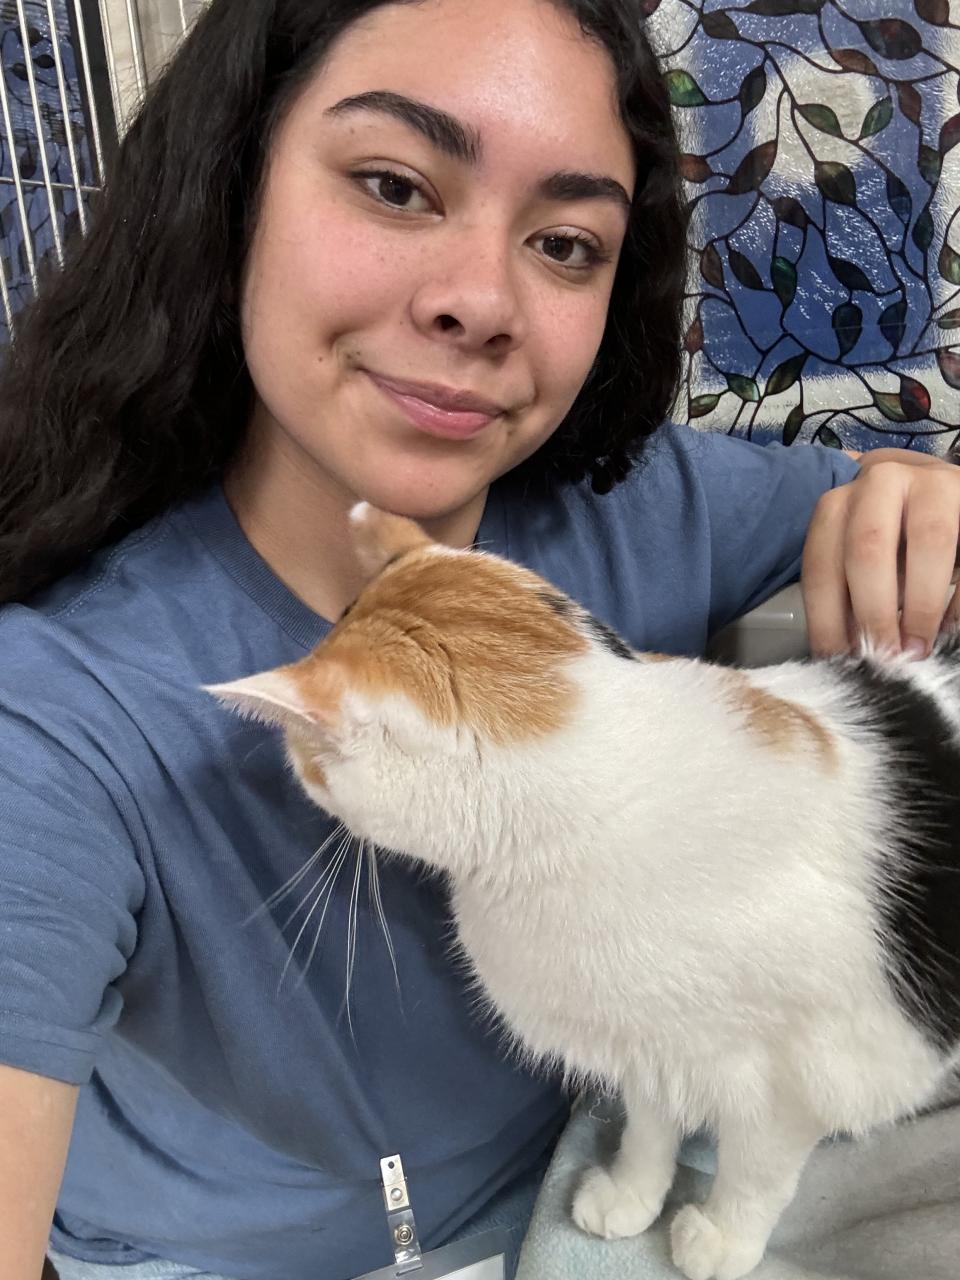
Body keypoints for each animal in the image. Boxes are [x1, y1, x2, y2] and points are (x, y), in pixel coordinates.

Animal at [209, 502, 960, 1280]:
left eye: (307, 766)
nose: (300, 783)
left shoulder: (803, 1074)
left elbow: (756, 1171)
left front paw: (724, 1237)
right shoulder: (650, 1039)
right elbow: (651, 1123)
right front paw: (632, 1194)